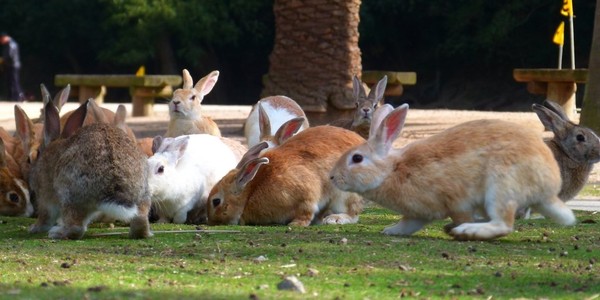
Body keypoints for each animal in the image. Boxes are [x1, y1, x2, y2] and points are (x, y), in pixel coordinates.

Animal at [27, 99, 152, 240]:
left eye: (37, 153)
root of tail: (114, 187)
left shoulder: (44, 194)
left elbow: (45, 215)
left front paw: (34, 228)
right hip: (143, 195)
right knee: (140, 221)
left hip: (70, 195)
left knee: (76, 228)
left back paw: (57, 233)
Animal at [206, 125, 366, 226]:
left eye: (216, 201)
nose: (212, 222)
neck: (250, 193)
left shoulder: (306, 195)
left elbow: (306, 211)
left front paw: (296, 224)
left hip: (344, 194)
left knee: (353, 214)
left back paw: (334, 219)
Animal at [328, 104, 576, 240]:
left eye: (357, 158)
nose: (332, 177)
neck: (392, 170)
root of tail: (548, 188)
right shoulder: (418, 213)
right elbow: (408, 224)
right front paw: (391, 230)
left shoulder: (456, 201)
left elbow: (460, 213)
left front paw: (461, 228)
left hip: (501, 188)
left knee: (503, 224)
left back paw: (468, 230)